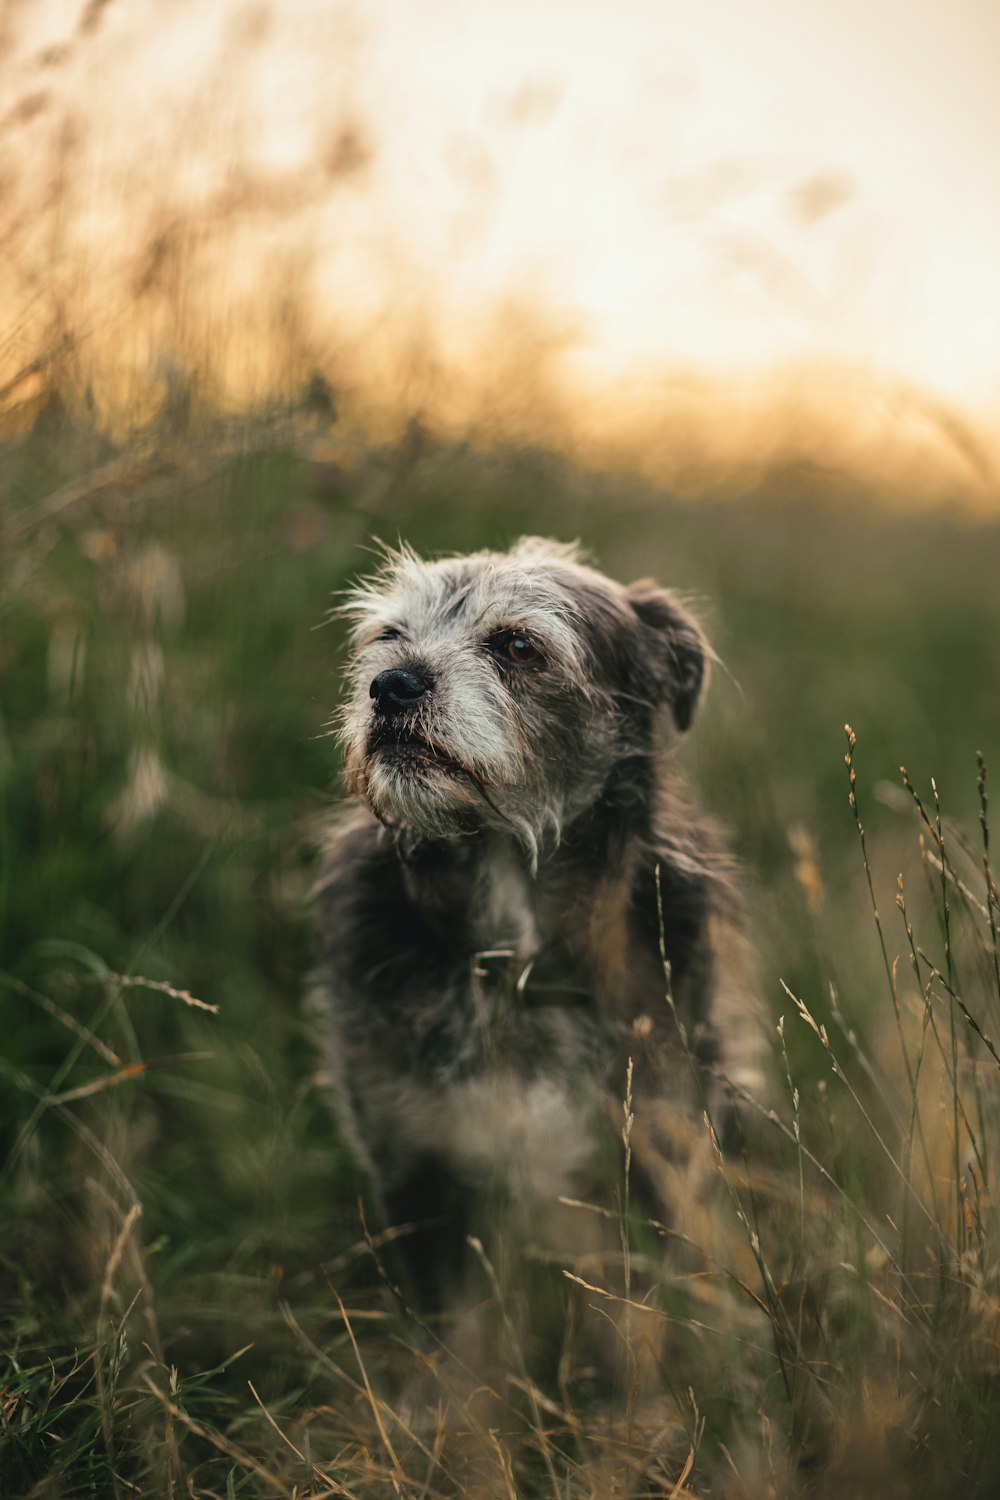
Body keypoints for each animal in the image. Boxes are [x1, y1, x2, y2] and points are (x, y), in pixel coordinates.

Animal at [316, 537, 761, 1326]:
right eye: (389, 635)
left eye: (519, 646)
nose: (390, 686)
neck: (513, 951)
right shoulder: (416, 1166)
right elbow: (461, 1334)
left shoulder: (653, 1162)